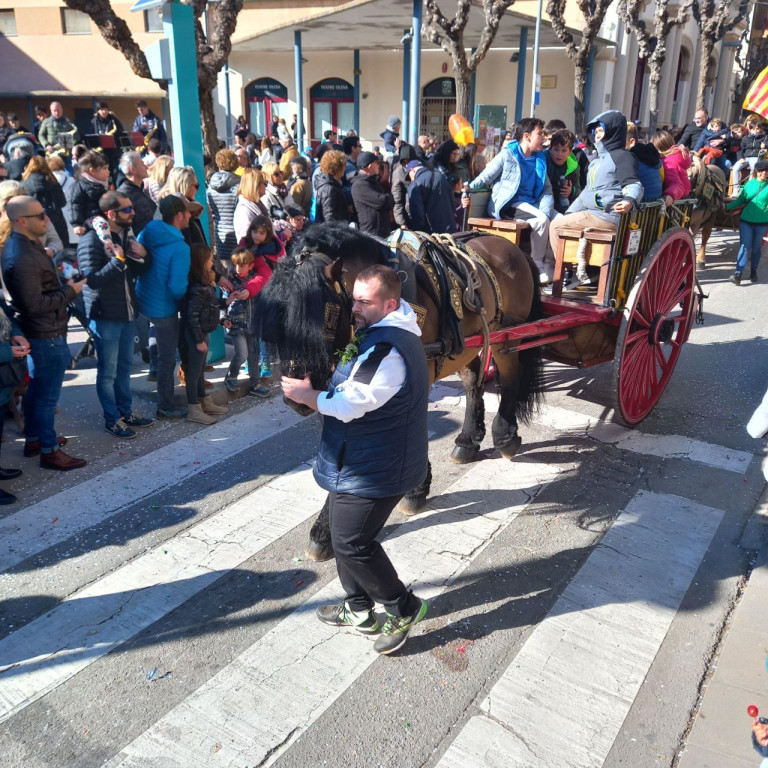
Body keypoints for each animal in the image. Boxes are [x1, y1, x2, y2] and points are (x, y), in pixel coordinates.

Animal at [260, 222, 544, 560]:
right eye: (280, 319)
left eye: (326, 316)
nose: (296, 396)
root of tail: (509, 244)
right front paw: (325, 528)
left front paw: (414, 489)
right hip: (467, 343)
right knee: (473, 382)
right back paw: (467, 441)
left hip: (507, 335)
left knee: (511, 379)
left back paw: (505, 436)